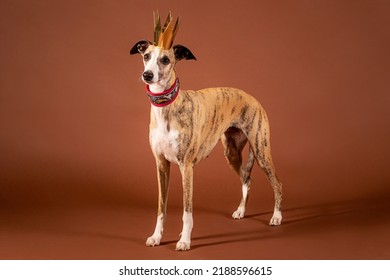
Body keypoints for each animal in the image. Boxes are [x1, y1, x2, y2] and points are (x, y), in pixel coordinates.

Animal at [129, 12, 282, 250]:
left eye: (165, 60)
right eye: (146, 56)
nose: (147, 75)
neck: (167, 108)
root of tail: (253, 98)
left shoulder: (186, 167)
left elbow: (187, 211)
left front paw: (184, 240)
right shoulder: (161, 164)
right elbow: (161, 207)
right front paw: (156, 237)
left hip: (261, 151)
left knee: (277, 184)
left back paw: (276, 216)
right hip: (232, 153)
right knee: (247, 179)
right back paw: (241, 211)